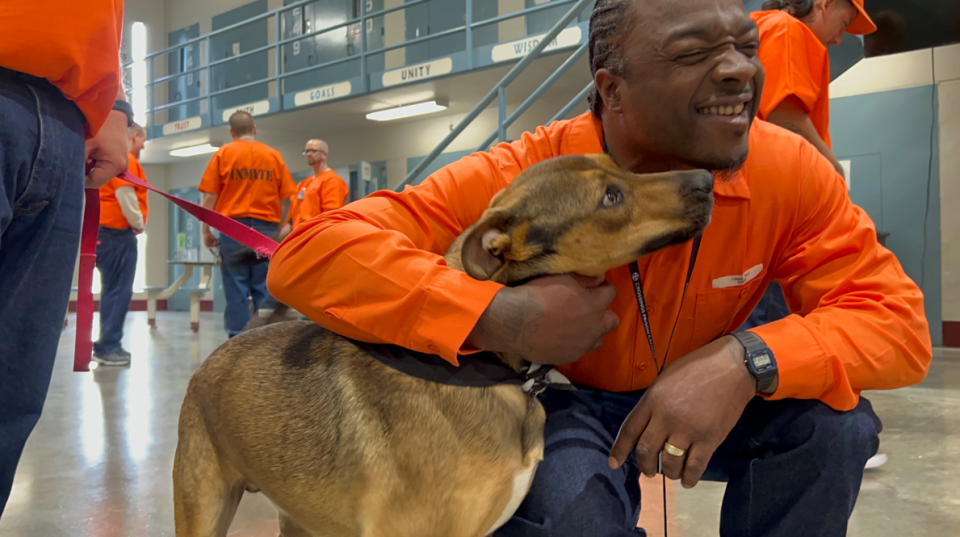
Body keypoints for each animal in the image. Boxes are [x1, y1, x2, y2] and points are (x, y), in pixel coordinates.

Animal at [174, 154, 712, 536]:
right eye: (611, 197)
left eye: (619, 166)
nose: (708, 178)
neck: (493, 366)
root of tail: (209, 362)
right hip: (202, 507)